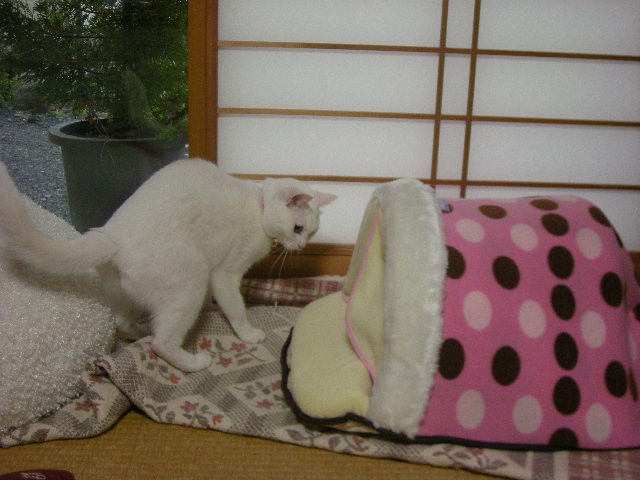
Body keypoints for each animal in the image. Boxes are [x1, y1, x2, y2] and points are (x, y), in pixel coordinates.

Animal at [0, 159, 336, 372]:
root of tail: (112, 235)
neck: (258, 206)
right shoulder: (225, 273)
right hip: (191, 280)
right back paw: (194, 362)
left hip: (126, 294)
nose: (301, 246)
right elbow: (236, 308)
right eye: (297, 228)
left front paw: (212, 308)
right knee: (162, 342)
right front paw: (249, 334)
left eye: (310, 232)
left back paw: (140, 332)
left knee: (124, 322)